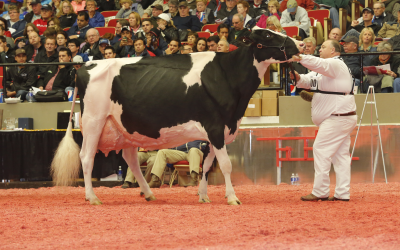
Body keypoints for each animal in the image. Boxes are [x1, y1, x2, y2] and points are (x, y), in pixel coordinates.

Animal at [51, 27, 302, 205]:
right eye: (268, 34)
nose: (299, 43)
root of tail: (84, 67)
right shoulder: (216, 127)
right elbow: (226, 165)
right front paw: (232, 197)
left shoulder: (217, 131)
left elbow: (207, 164)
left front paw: (203, 195)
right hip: (94, 121)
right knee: (86, 157)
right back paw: (92, 197)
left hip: (126, 127)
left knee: (130, 159)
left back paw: (149, 193)